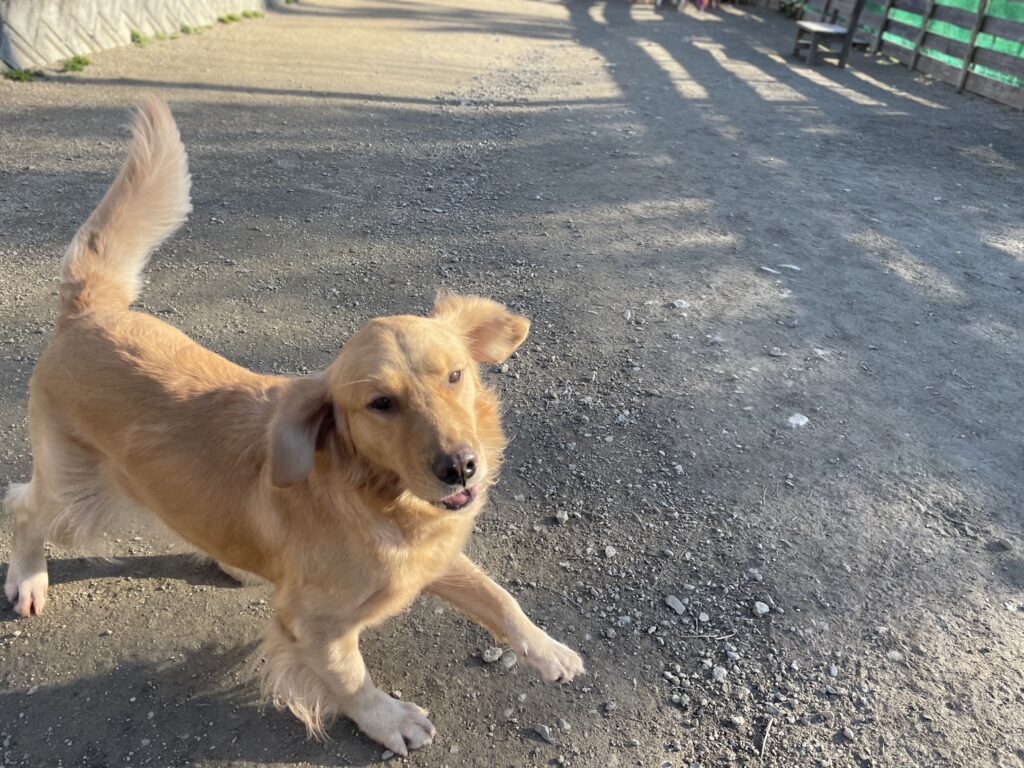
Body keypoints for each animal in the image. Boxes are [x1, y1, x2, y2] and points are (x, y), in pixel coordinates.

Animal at [3, 97, 584, 756]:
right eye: (381, 403)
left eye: (455, 375)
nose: (461, 466)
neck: (377, 500)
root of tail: (87, 311)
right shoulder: (314, 624)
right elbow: (350, 677)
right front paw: (389, 720)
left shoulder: (433, 556)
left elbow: (497, 595)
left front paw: (548, 650)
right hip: (76, 487)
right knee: (23, 507)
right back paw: (27, 578)